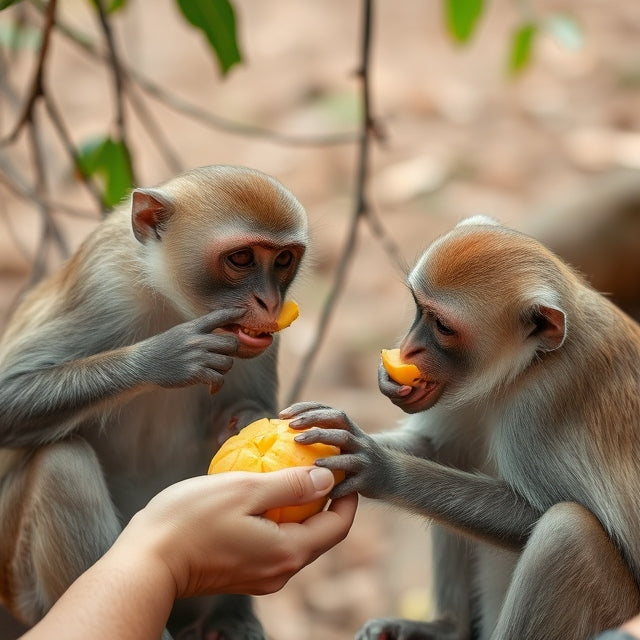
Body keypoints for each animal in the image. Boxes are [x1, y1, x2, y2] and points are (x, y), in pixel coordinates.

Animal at [0, 165, 308, 640]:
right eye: (241, 259)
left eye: (283, 260)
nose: (271, 302)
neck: (170, 300)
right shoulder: (102, 286)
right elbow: (6, 398)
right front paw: (165, 357)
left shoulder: (261, 336)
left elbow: (246, 410)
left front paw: (247, 423)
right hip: (18, 580)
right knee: (61, 465)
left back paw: (228, 619)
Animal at [282, 218, 640, 640]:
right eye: (419, 309)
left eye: (442, 327)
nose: (410, 349)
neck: (525, 366)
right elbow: (438, 449)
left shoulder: (543, 404)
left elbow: (538, 514)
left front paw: (381, 469)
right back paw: (447, 628)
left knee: (569, 532)